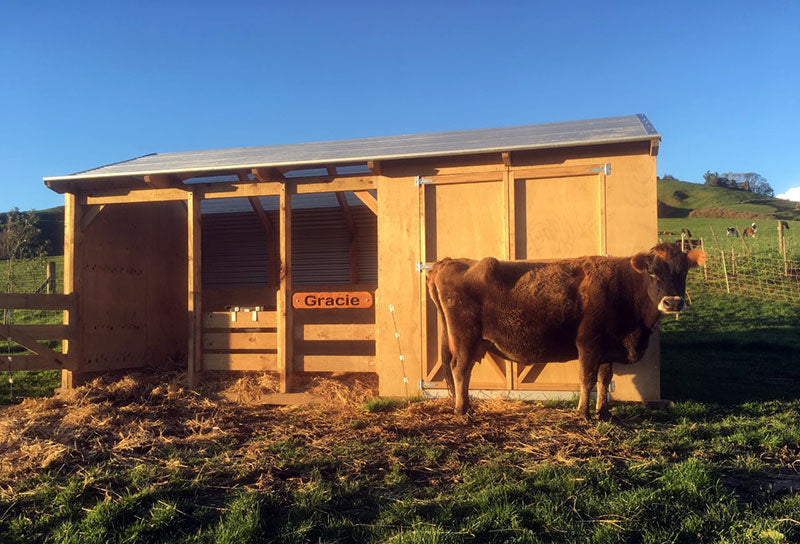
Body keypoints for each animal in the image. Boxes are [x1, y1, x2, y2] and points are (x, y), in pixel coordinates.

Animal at [428, 242, 704, 420]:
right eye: (652, 272)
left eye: (683, 272)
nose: (673, 302)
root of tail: (447, 263)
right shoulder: (589, 345)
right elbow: (587, 379)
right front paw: (583, 414)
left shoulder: (607, 349)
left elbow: (604, 379)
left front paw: (604, 412)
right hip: (465, 340)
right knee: (460, 370)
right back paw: (463, 410)